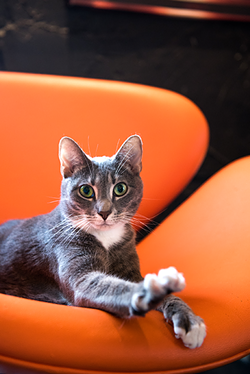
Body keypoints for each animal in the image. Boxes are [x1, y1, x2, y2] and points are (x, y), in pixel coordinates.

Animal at [0, 136, 205, 350]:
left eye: (120, 188)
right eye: (86, 190)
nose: (104, 212)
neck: (106, 238)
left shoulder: (128, 263)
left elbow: (169, 296)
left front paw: (190, 321)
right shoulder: (77, 270)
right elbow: (111, 286)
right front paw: (152, 291)